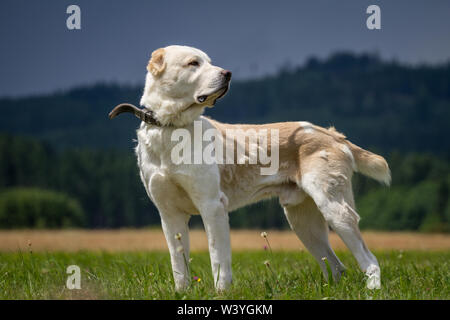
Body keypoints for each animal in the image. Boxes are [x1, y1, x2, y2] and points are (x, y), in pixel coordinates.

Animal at [109, 45, 390, 292]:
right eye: (193, 63)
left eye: (209, 61)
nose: (228, 74)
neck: (170, 129)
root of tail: (332, 134)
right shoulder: (169, 214)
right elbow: (178, 263)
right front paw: (181, 292)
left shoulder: (212, 206)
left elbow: (218, 259)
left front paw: (221, 292)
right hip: (303, 220)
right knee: (337, 266)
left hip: (335, 209)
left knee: (369, 259)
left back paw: (373, 289)